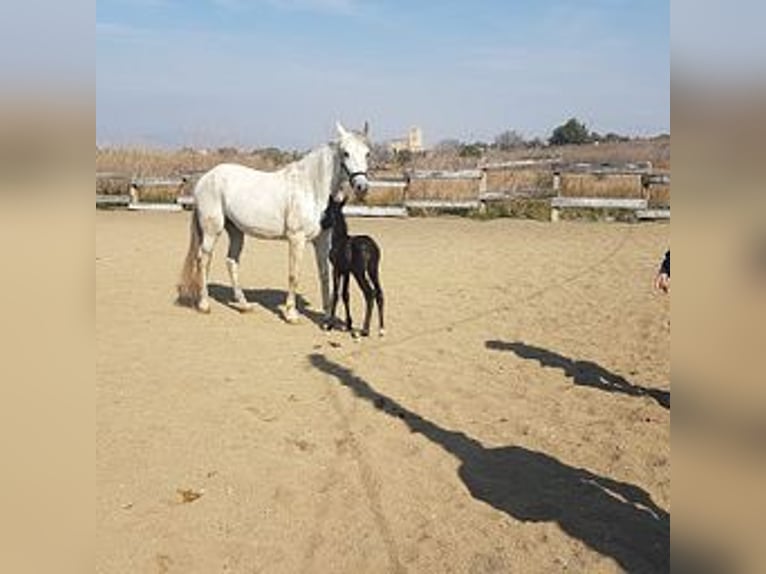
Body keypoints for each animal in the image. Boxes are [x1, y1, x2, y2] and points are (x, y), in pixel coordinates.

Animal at [180, 121, 372, 324]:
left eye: (367, 153)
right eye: (345, 153)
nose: (362, 186)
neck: (311, 188)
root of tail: (206, 178)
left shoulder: (321, 240)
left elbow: (324, 274)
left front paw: (327, 316)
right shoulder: (297, 239)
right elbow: (294, 275)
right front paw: (291, 314)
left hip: (236, 232)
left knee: (231, 262)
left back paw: (244, 305)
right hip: (212, 231)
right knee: (203, 260)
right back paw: (204, 304)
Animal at [322, 197, 384, 338]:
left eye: (326, 211)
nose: (321, 224)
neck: (339, 239)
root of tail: (370, 248)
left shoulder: (337, 270)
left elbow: (336, 294)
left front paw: (330, 325)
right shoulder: (347, 272)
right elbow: (346, 295)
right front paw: (349, 324)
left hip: (359, 273)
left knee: (369, 294)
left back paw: (365, 330)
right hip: (373, 271)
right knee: (379, 293)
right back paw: (382, 329)